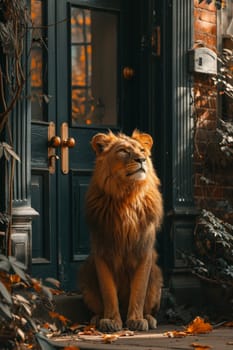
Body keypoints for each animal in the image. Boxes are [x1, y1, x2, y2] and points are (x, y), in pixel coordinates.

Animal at [80, 130, 164, 332]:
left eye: (142, 150)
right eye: (124, 151)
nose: (142, 159)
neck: (127, 198)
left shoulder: (144, 252)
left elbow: (139, 291)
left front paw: (137, 320)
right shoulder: (102, 252)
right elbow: (108, 292)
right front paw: (111, 321)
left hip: (157, 274)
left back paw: (149, 318)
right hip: (85, 273)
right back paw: (97, 319)